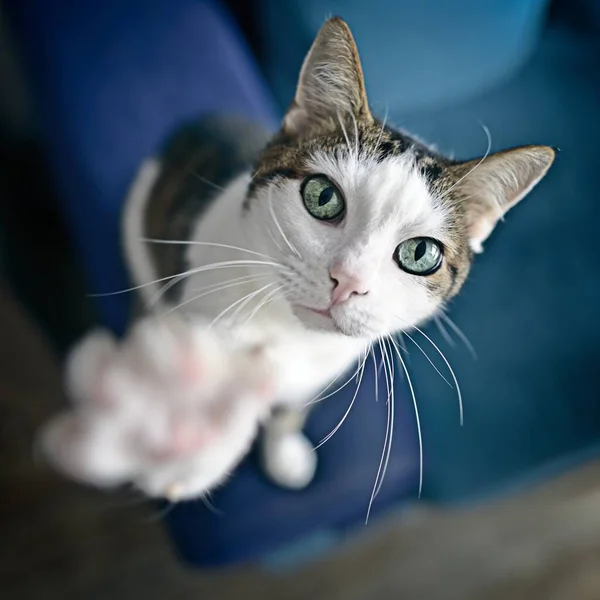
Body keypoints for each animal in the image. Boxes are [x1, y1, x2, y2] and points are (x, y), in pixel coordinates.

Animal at [38, 15, 556, 502]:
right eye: (323, 197)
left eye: (420, 253)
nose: (347, 280)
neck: (289, 334)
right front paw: (195, 454)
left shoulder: (321, 370)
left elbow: (290, 408)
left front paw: (283, 451)